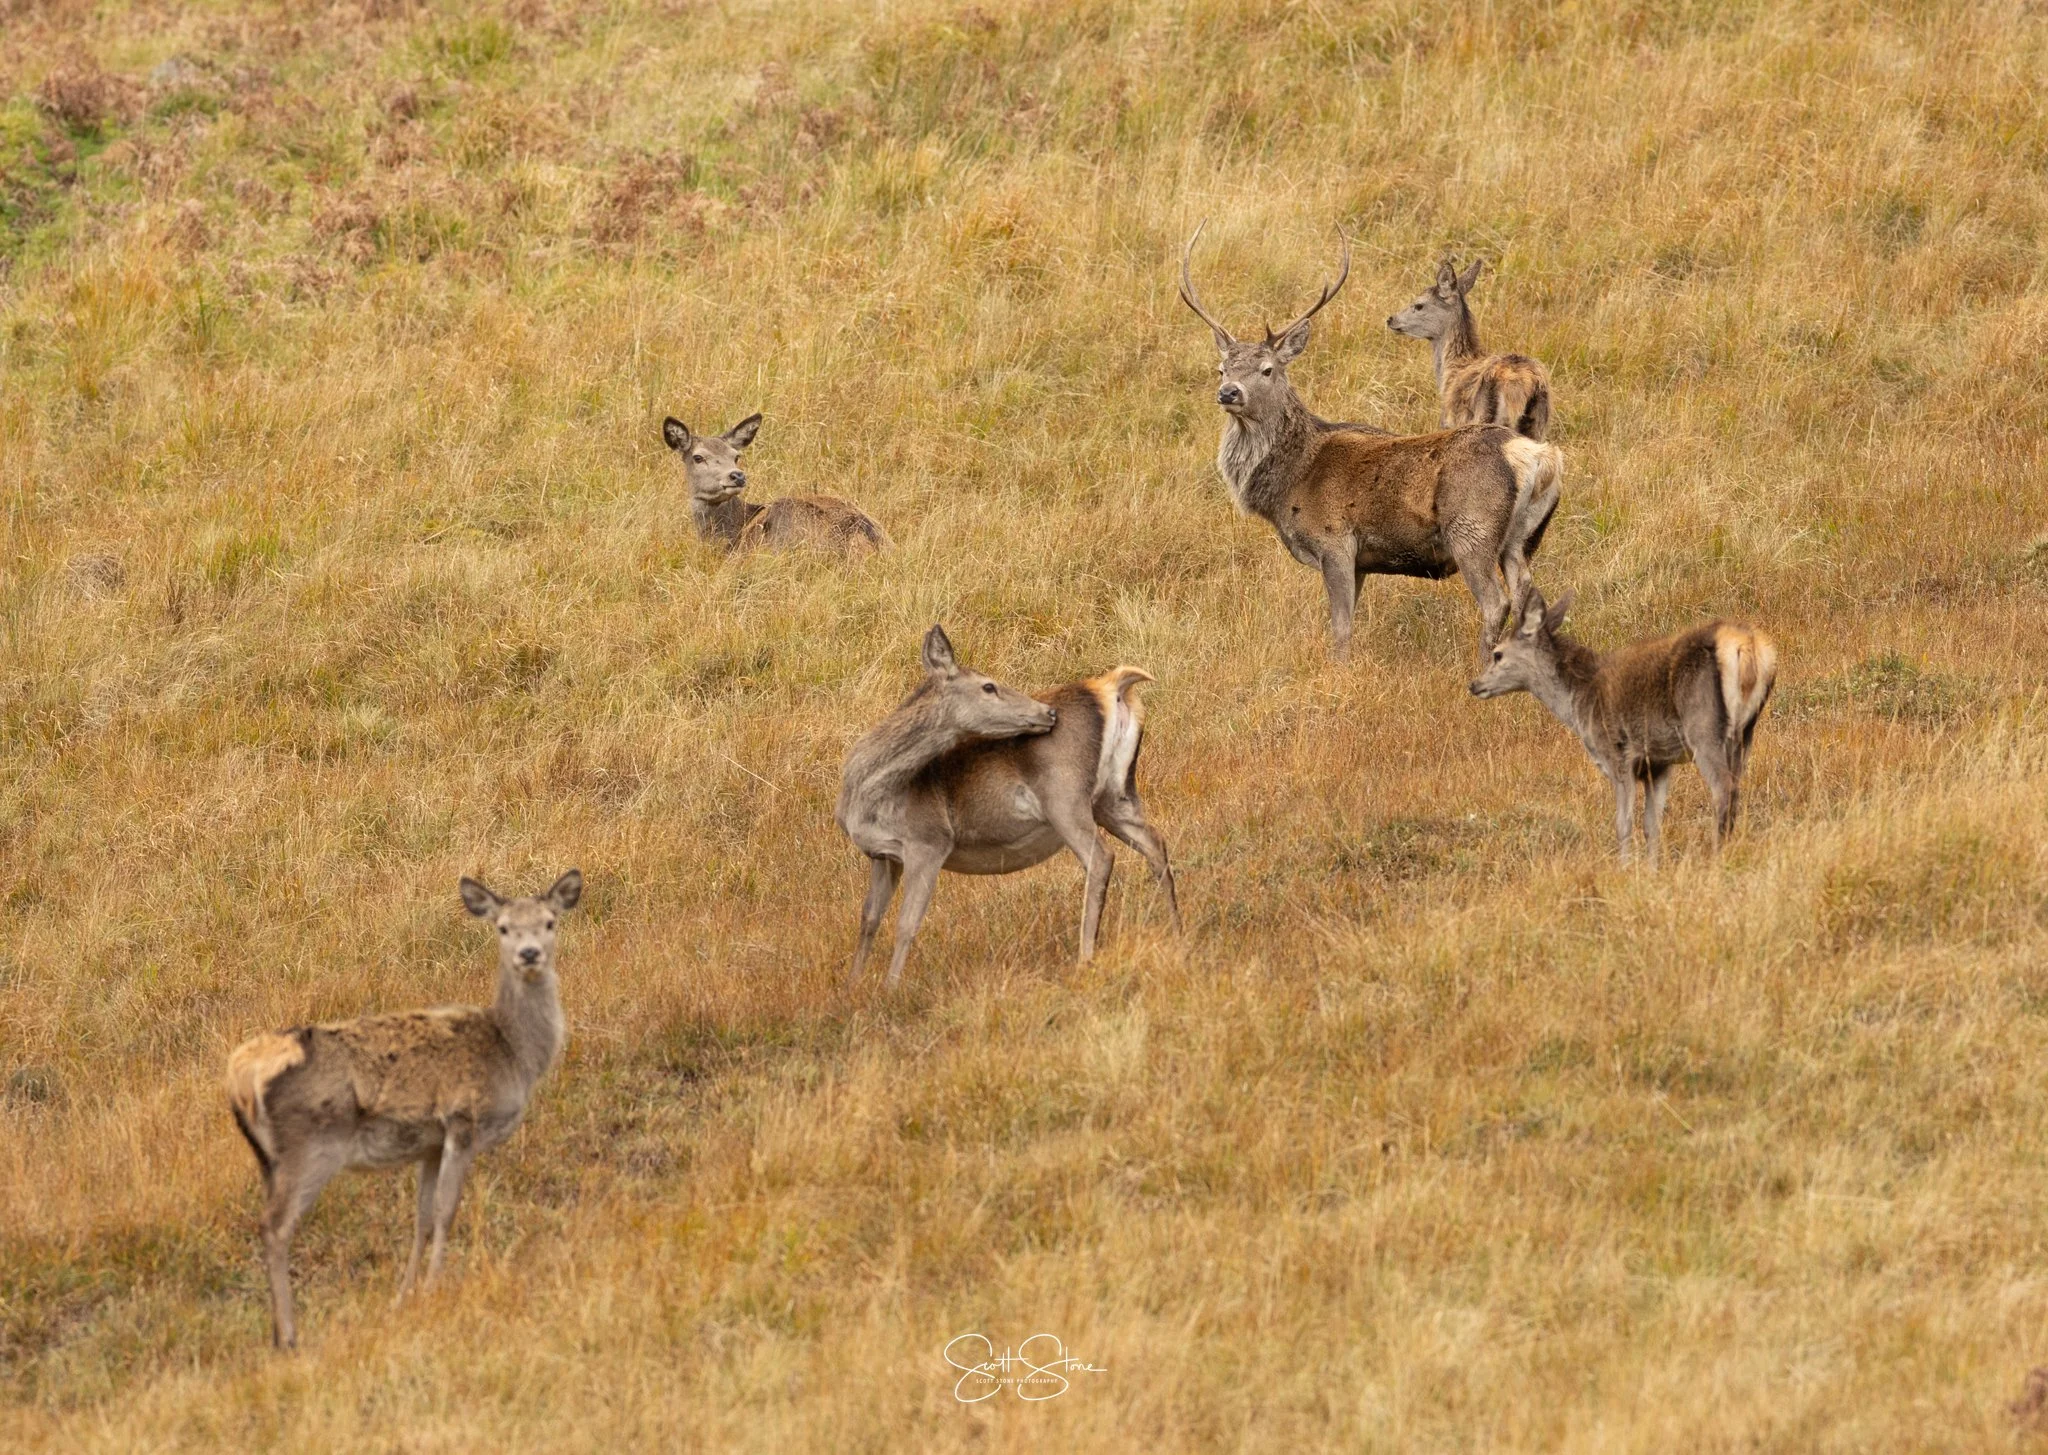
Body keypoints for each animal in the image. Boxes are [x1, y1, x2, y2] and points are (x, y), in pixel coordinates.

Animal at [223, 870, 583, 1350]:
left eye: (549, 922)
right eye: (503, 928)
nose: (529, 954)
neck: (513, 1054)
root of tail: (240, 1076)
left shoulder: (429, 1143)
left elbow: (422, 1218)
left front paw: (404, 1295)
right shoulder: (462, 1120)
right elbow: (447, 1211)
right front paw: (434, 1288)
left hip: (268, 1159)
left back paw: (275, 1331)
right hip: (312, 1145)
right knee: (275, 1226)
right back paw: (289, 1337)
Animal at [837, 625, 1180, 989]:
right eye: (989, 686)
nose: (1048, 712)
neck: (867, 796)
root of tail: (1111, 686)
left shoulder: (929, 841)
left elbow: (906, 924)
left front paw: (890, 989)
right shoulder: (882, 855)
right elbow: (869, 918)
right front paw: (852, 986)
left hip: (1064, 795)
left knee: (1100, 857)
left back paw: (1085, 958)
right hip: (1115, 797)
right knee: (1155, 843)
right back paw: (1177, 933)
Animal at [1387, 257, 1552, 441]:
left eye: (1419, 305)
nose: (1391, 319)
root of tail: (1523, 384)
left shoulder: (1450, 422)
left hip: (1486, 415)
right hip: (1538, 425)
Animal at [1469, 584, 1778, 864]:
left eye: (1498, 654)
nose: (1474, 684)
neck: (1579, 700)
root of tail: (1748, 646)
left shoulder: (1618, 755)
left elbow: (1623, 823)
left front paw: (1626, 868)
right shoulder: (1658, 764)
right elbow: (1652, 825)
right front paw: (1652, 870)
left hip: (1703, 728)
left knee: (1723, 789)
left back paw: (1716, 855)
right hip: (1744, 732)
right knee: (1736, 788)